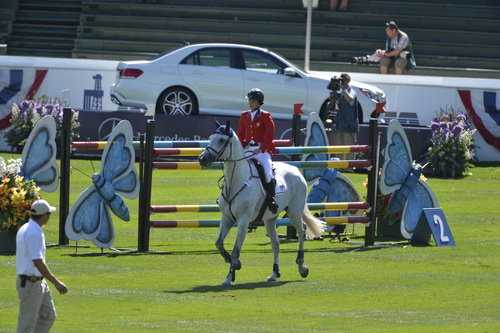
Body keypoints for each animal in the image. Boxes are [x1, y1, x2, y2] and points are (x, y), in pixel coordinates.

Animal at [197, 120, 326, 286]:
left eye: (221, 140)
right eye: (210, 138)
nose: (202, 159)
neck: (236, 181)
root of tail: (296, 170)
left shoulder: (243, 220)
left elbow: (236, 250)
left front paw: (230, 276)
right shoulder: (226, 218)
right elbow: (219, 243)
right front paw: (234, 264)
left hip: (294, 212)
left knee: (302, 230)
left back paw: (301, 266)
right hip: (270, 219)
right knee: (276, 243)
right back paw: (275, 273)